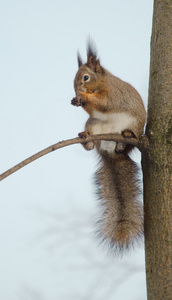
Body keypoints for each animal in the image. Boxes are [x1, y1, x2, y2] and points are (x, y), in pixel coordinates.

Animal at [71, 42, 146, 252]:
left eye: (85, 77)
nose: (76, 90)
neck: (100, 83)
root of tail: (109, 151)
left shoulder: (113, 93)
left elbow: (104, 103)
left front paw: (82, 96)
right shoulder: (93, 113)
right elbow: (94, 108)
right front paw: (77, 99)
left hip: (134, 127)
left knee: (126, 141)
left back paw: (124, 140)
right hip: (94, 123)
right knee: (91, 140)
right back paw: (86, 139)